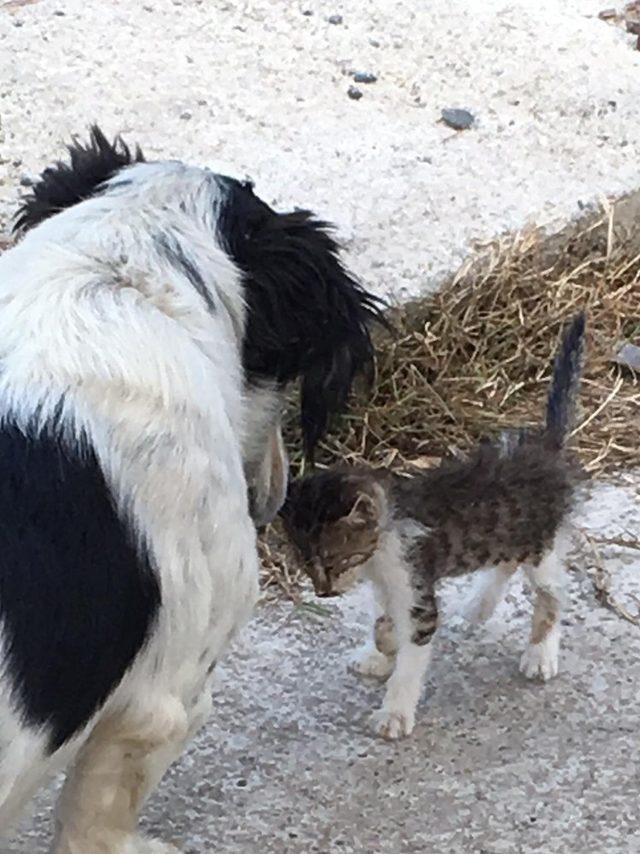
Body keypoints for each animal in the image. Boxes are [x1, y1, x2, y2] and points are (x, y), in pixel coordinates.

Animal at [282, 314, 584, 744]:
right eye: (306, 564)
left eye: (336, 560)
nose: (323, 594)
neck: (380, 549)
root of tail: (548, 450)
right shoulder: (390, 585)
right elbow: (385, 621)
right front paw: (381, 650)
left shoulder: (415, 585)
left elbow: (412, 651)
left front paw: (394, 711)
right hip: (511, 536)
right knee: (506, 563)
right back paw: (478, 607)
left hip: (540, 544)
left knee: (554, 593)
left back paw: (541, 653)